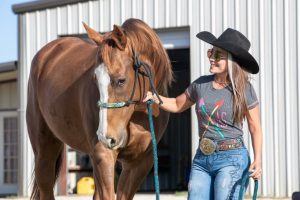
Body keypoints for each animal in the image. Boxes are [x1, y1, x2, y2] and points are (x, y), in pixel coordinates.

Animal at [27, 17, 175, 200]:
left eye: (121, 80)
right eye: (95, 79)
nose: (105, 137)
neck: (137, 115)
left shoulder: (140, 162)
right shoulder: (103, 155)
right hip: (44, 149)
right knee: (45, 184)